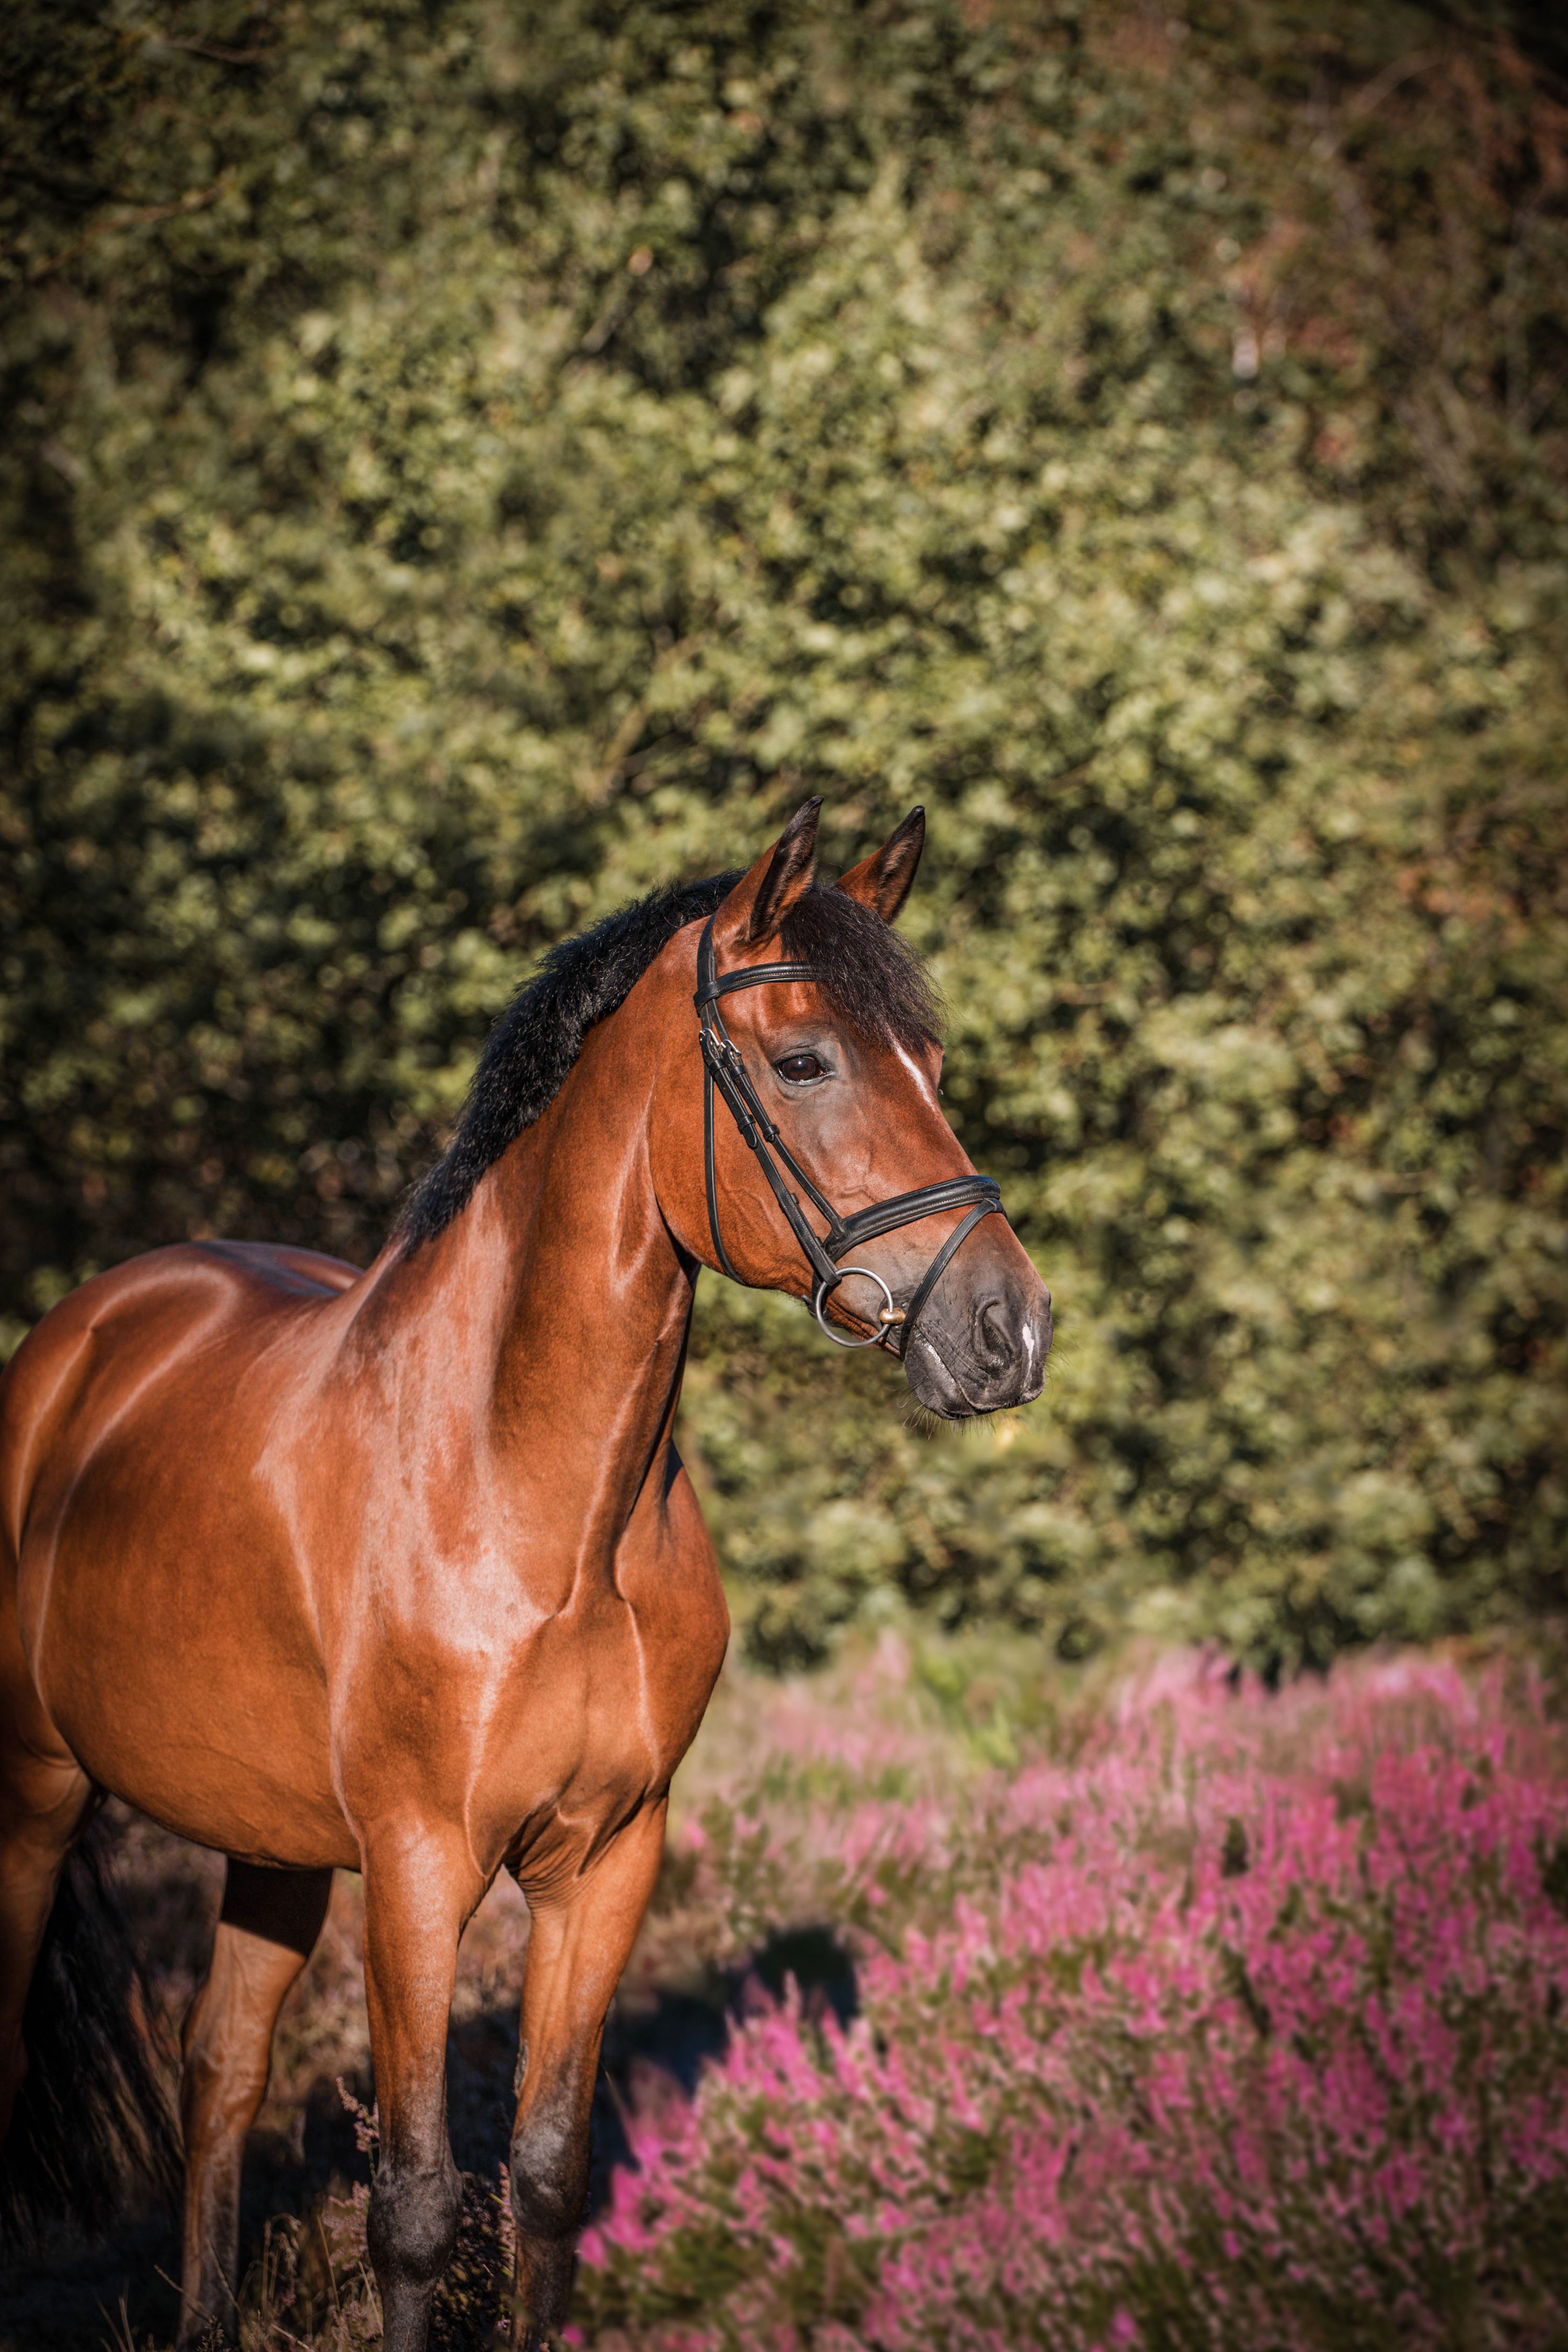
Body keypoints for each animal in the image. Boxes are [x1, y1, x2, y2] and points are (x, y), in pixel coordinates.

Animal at [0, 799, 1050, 2349]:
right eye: (805, 1057)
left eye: (929, 1059)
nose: (1005, 1328)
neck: (535, 1496)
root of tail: (79, 1339)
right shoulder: (419, 1866)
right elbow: (416, 2201)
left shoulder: (606, 1856)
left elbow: (550, 2170)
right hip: (37, 1793)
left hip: (268, 1842)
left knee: (220, 2064)